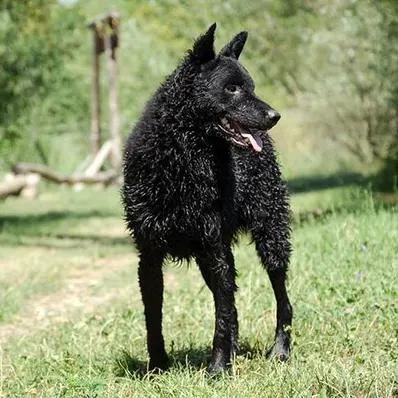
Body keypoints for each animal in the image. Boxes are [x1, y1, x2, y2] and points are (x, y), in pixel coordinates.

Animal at [122, 24, 292, 374]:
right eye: (232, 88)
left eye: (251, 86)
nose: (275, 115)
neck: (181, 160)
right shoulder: (149, 255)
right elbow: (153, 318)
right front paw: (157, 366)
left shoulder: (214, 248)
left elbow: (222, 314)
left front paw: (217, 368)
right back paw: (235, 352)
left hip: (271, 237)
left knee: (282, 299)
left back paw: (280, 350)